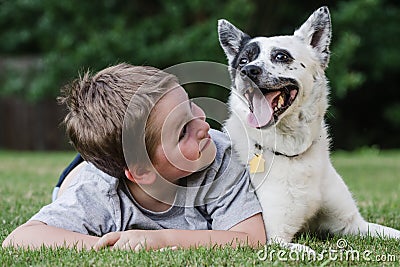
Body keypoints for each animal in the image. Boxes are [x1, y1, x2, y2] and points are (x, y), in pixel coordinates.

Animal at [219, 5, 400, 251]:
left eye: (281, 56)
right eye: (243, 61)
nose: (248, 70)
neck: (294, 153)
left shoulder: (354, 224)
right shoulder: (273, 238)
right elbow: (311, 251)